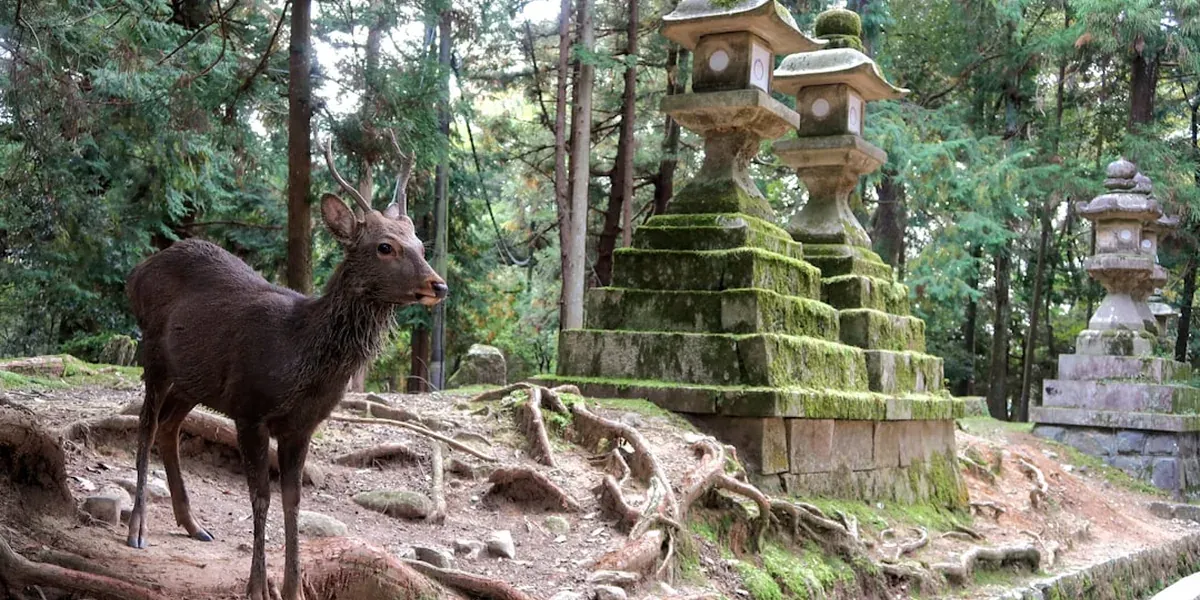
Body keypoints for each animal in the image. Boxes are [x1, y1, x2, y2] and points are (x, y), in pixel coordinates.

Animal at [124, 133, 443, 600]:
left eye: (422, 246)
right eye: (385, 246)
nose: (438, 284)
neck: (299, 359)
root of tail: (136, 273)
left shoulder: (301, 425)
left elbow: (293, 501)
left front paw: (293, 587)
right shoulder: (250, 409)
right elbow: (260, 497)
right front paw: (257, 586)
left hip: (194, 380)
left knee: (169, 427)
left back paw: (194, 524)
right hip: (152, 355)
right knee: (146, 428)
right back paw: (137, 529)